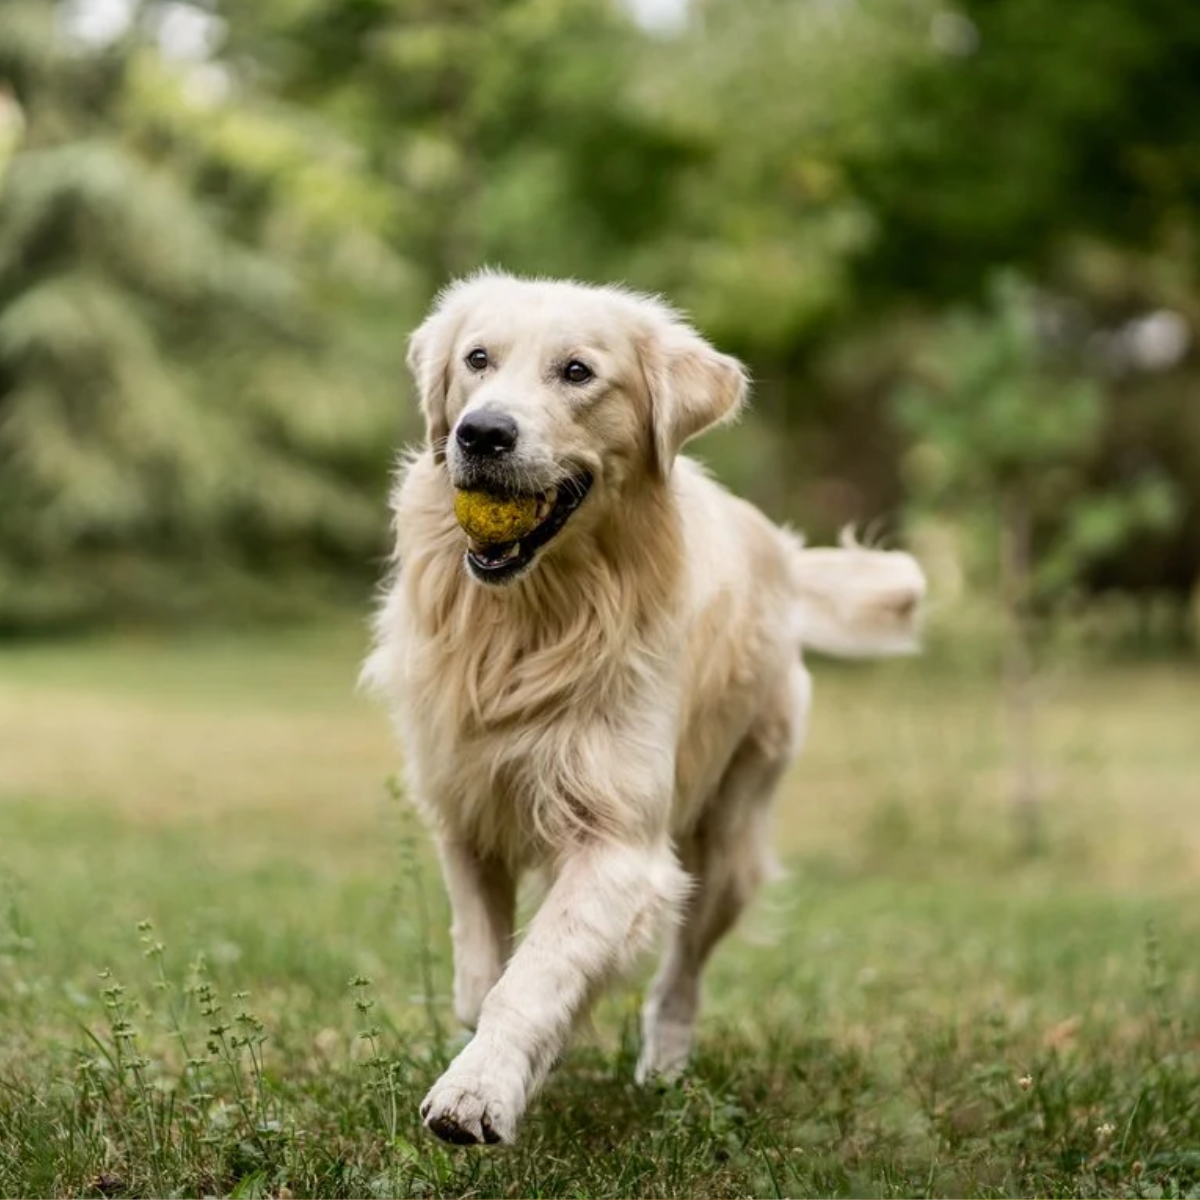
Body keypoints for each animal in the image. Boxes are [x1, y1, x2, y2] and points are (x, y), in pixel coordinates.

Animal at [364, 272, 926, 1142]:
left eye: (577, 372)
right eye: (477, 359)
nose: (480, 432)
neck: (536, 621)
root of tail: (781, 551)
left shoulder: (620, 843)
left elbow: (534, 974)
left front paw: (478, 1091)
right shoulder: (466, 808)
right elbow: (483, 974)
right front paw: (513, 1054)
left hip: (725, 840)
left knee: (683, 972)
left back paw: (664, 1067)